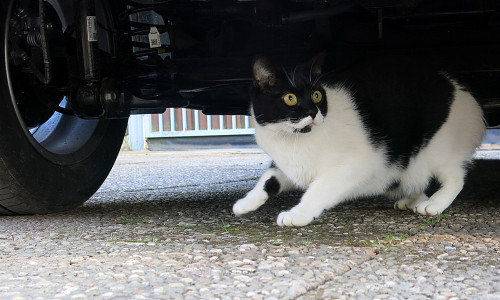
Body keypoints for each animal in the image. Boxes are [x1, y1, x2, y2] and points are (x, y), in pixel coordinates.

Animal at [232, 55, 486, 226]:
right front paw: (246, 203)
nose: (314, 113)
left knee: (456, 177)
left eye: (317, 95)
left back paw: (434, 204)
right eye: (290, 98)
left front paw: (299, 213)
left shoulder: (355, 164)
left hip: (436, 149)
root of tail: (461, 90)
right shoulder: (287, 165)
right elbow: (268, 179)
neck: (292, 140)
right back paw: (412, 199)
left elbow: (318, 189)